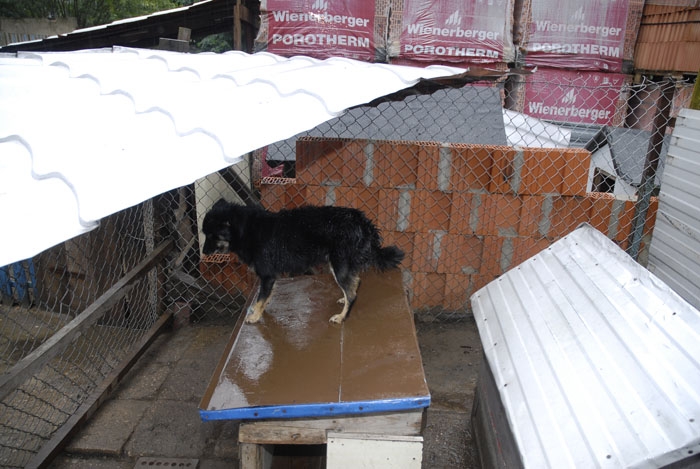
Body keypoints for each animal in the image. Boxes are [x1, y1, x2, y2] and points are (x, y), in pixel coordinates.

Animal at [202, 199, 404, 324]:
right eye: (205, 234)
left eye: (212, 235)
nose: (203, 253)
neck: (247, 229)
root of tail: (363, 222)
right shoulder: (270, 278)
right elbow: (266, 296)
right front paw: (262, 309)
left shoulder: (267, 275)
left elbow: (260, 298)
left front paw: (255, 316)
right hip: (339, 264)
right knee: (355, 283)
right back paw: (344, 298)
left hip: (338, 265)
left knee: (352, 293)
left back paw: (341, 317)